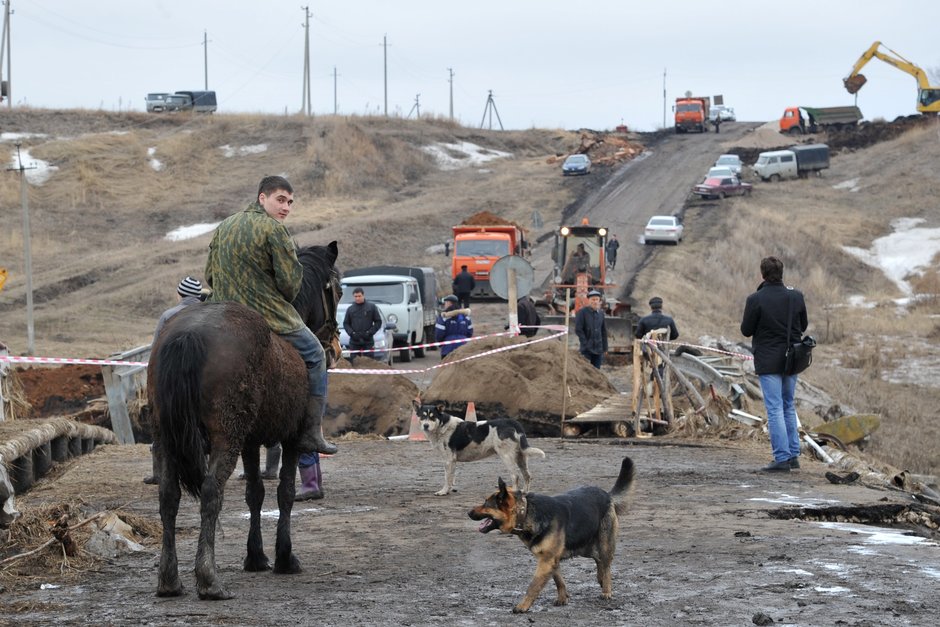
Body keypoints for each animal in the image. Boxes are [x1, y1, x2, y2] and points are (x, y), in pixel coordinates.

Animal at [152, 240, 344, 600]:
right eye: (338, 289)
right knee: (211, 492)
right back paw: (209, 579)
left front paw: (255, 556)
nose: (336, 346)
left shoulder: (251, 442)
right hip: (225, 438)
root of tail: (188, 335)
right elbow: (285, 492)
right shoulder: (292, 439)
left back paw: (169, 580)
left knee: (168, 495)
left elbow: (255, 492)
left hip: (169, 437)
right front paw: (284, 556)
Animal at [414, 400, 548, 498]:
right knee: (527, 475)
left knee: (515, 476)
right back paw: (525, 492)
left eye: (433, 417)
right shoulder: (452, 461)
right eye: (422, 417)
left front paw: (443, 491)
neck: (442, 425)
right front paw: (449, 490)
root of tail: (513, 422)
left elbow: (447, 478)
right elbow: (451, 477)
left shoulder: (448, 460)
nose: (425, 425)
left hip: (506, 456)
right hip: (521, 457)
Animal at [466, 456, 636, 612]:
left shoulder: (546, 561)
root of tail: (606, 494)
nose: (468, 513)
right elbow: (559, 580)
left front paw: (522, 606)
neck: (525, 512)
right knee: (599, 559)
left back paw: (606, 590)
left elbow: (533, 586)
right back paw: (600, 580)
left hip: (604, 544)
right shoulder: (551, 559)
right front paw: (562, 598)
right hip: (583, 547)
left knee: (606, 564)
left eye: (486, 503)